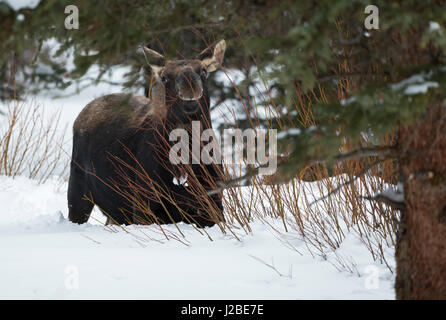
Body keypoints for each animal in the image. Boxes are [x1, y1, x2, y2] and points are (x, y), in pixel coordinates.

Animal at [68, 40, 228, 228]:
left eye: (203, 71)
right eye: (165, 77)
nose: (189, 85)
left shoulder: (213, 205)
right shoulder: (144, 206)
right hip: (78, 192)